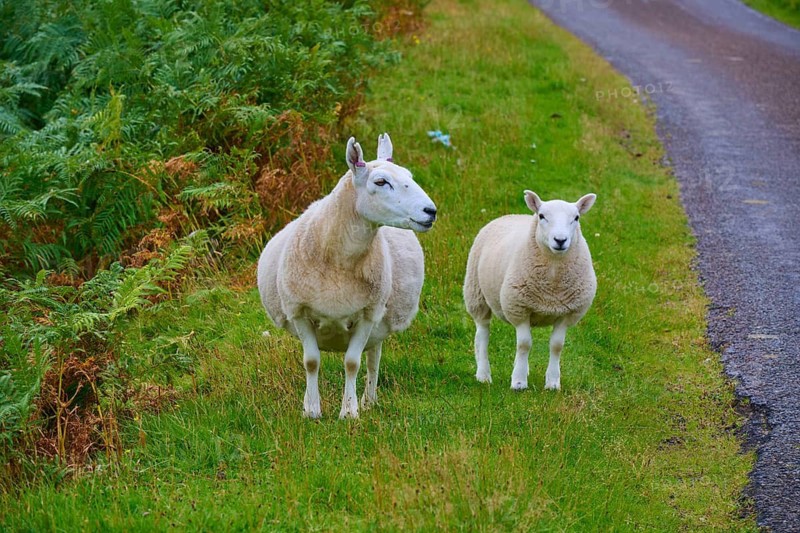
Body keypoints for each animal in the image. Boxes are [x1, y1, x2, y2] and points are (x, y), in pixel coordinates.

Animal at [257, 134, 437, 419]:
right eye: (380, 182)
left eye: (409, 176)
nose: (430, 211)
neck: (340, 262)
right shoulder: (299, 312)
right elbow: (311, 362)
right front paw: (312, 410)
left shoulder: (368, 314)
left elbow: (353, 363)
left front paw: (349, 412)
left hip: (380, 321)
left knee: (373, 358)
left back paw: (369, 400)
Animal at [463, 190, 597, 391]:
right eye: (542, 216)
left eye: (576, 218)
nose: (560, 240)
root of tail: (511, 215)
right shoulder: (519, 308)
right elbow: (524, 345)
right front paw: (518, 382)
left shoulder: (567, 313)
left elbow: (557, 346)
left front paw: (552, 383)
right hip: (476, 293)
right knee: (482, 335)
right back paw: (483, 375)